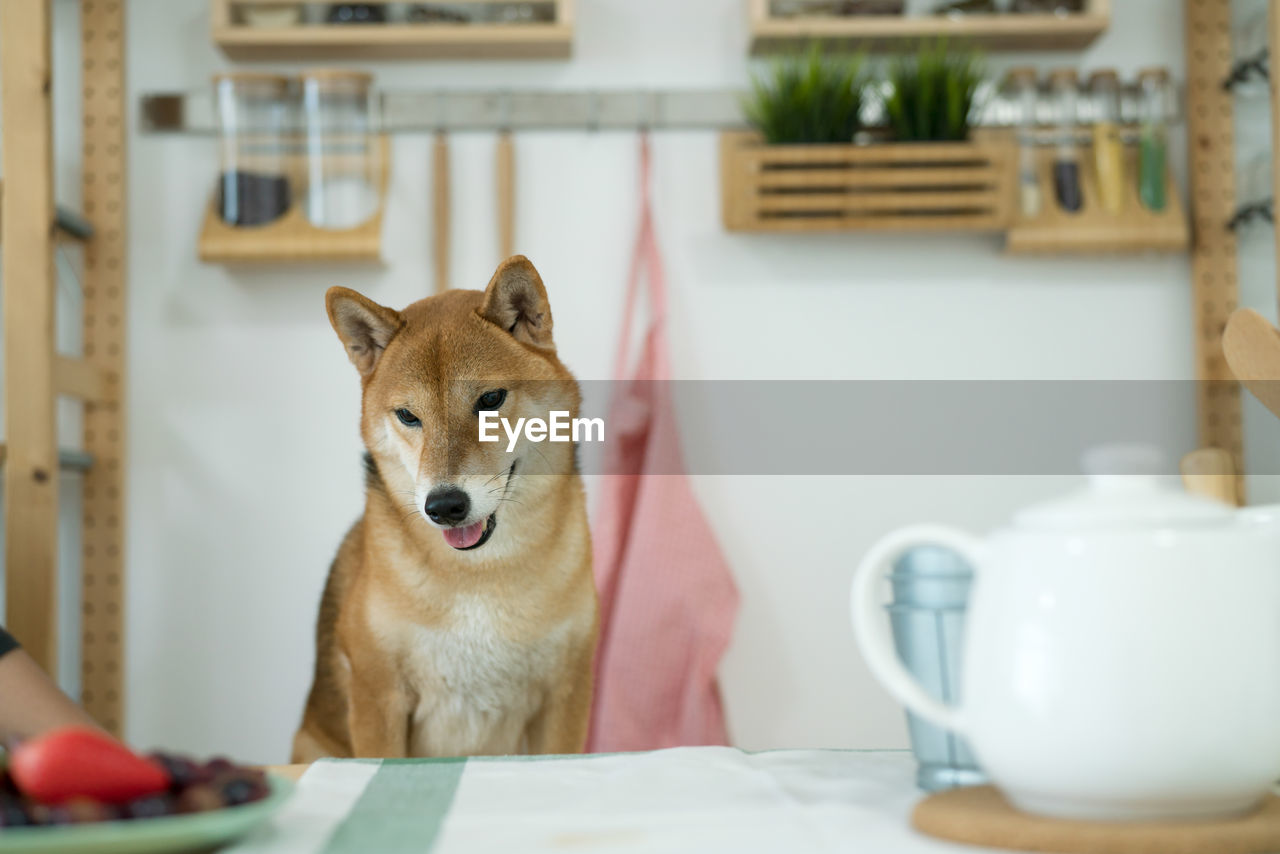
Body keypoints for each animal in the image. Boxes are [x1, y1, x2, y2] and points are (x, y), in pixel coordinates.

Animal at [294, 256, 599, 763]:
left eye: (491, 399)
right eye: (408, 415)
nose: (445, 505)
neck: (478, 576)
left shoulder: (566, 696)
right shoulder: (378, 699)